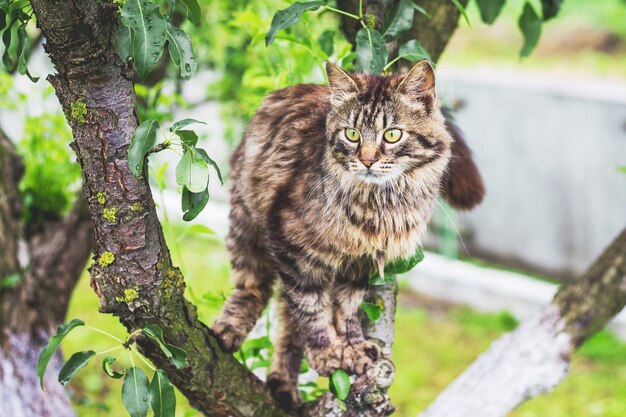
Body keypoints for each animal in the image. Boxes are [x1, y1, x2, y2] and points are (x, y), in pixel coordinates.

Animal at [211, 60, 482, 408]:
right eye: (352, 134)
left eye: (392, 134)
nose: (366, 160)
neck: (378, 206)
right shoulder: (291, 246)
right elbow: (312, 311)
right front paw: (327, 352)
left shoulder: (361, 263)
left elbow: (347, 310)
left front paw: (351, 347)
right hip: (247, 223)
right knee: (254, 287)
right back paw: (228, 330)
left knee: (286, 318)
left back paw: (284, 384)